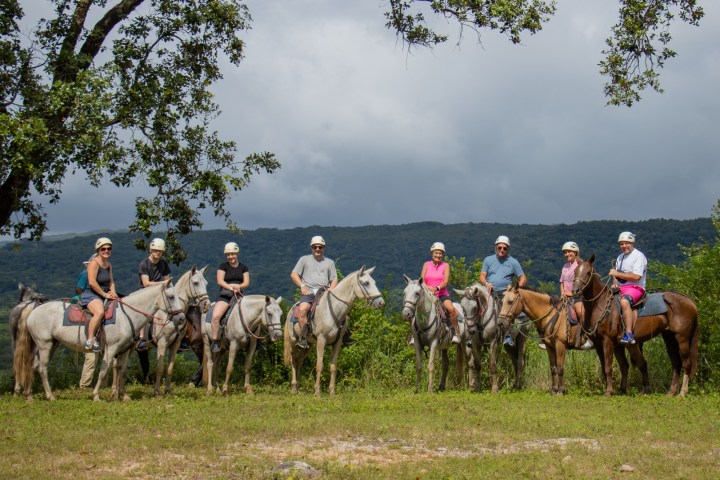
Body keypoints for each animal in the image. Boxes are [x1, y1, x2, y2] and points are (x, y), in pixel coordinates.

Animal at [14, 282, 184, 401]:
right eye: (171, 297)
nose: (181, 318)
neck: (128, 315)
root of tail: (34, 309)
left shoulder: (124, 350)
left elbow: (122, 372)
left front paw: (123, 396)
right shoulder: (111, 349)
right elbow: (103, 371)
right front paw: (96, 395)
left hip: (50, 345)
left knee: (32, 366)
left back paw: (29, 395)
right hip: (45, 345)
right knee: (42, 368)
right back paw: (50, 396)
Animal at [149, 266, 210, 396]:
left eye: (206, 283)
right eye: (195, 283)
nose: (206, 304)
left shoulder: (175, 344)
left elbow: (169, 368)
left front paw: (166, 390)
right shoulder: (162, 343)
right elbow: (160, 367)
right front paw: (157, 391)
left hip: (197, 345)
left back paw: (194, 382)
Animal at [283, 266, 384, 395]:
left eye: (374, 282)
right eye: (366, 283)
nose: (381, 302)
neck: (334, 309)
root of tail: (291, 311)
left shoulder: (337, 342)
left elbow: (333, 366)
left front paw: (332, 391)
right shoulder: (321, 340)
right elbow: (319, 365)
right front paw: (317, 391)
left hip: (308, 345)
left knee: (298, 361)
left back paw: (297, 387)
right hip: (293, 342)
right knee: (293, 361)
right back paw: (293, 387)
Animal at [571, 254, 699, 397]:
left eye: (588, 272)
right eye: (575, 271)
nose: (575, 291)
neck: (600, 304)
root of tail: (690, 301)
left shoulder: (607, 341)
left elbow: (609, 367)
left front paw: (609, 391)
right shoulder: (604, 345)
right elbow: (618, 366)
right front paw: (621, 390)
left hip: (682, 338)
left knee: (686, 363)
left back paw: (682, 392)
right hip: (669, 337)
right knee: (676, 362)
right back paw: (671, 392)